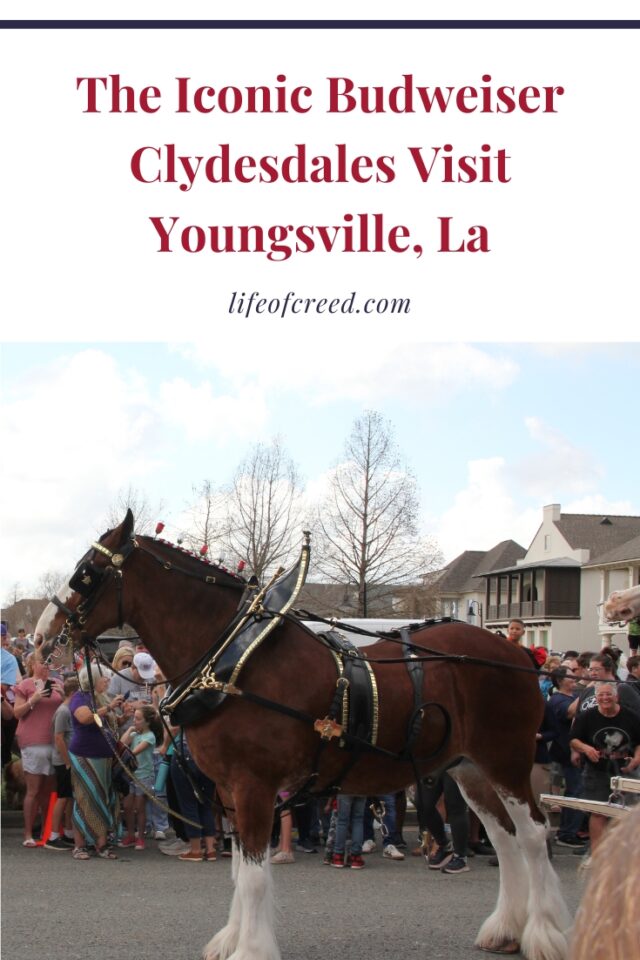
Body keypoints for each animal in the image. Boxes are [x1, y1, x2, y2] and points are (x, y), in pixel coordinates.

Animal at [36, 512, 568, 960]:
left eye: (86, 574)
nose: (43, 637)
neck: (233, 661)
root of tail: (518, 654)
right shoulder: (229, 790)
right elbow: (239, 869)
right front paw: (232, 939)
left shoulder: (254, 786)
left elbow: (252, 877)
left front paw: (250, 950)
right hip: (468, 769)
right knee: (504, 838)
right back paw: (505, 929)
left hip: (505, 760)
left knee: (534, 833)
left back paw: (543, 933)